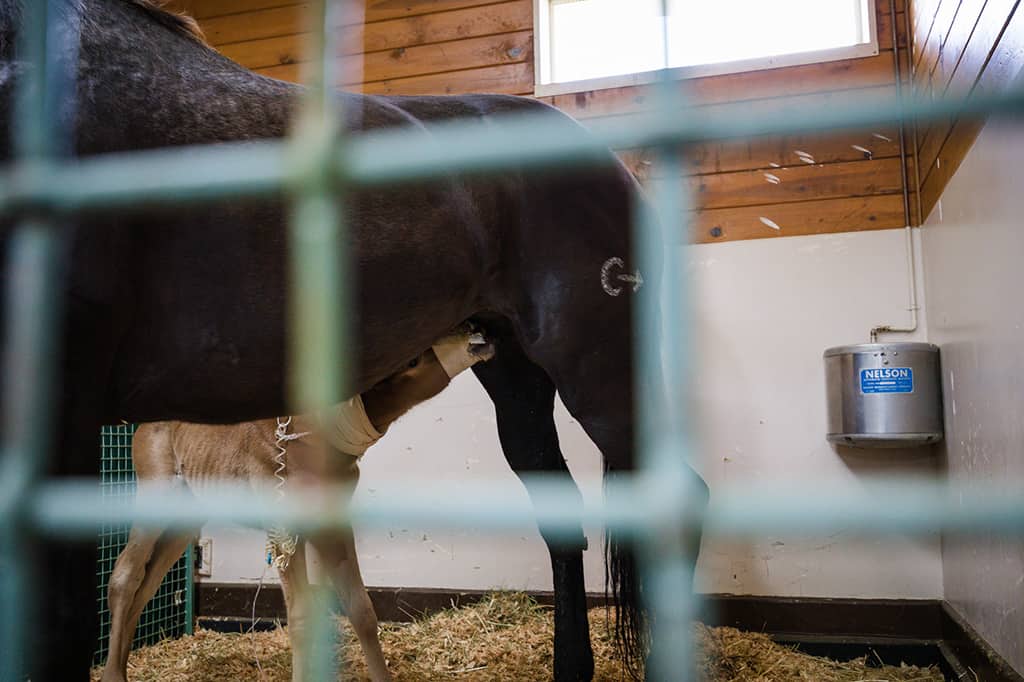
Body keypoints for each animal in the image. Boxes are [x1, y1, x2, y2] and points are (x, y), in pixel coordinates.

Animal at [101, 323, 493, 679]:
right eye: (414, 358)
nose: (475, 331)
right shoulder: (283, 527)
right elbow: (301, 615)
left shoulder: (331, 523)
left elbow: (361, 608)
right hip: (156, 491)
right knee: (125, 574)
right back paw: (112, 674)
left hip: (186, 516)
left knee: (148, 580)